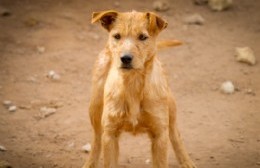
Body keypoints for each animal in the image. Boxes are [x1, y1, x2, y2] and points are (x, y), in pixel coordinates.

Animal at [82, 10, 196, 168]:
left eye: (143, 37)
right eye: (117, 36)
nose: (125, 58)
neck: (133, 84)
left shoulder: (160, 134)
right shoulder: (110, 134)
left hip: (171, 109)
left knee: (175, 134)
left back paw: (186, 161)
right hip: (95, 108)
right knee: (96, 139)